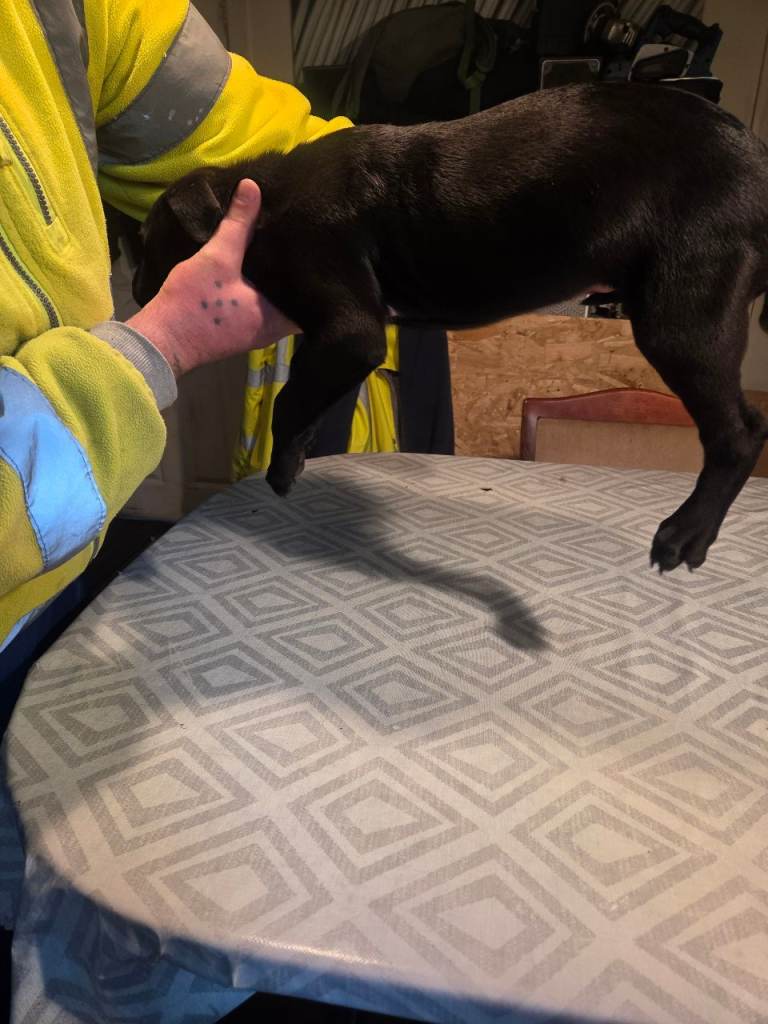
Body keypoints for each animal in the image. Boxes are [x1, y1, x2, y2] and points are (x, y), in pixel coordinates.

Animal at [134, 82, 768, 573]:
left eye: (145, 243)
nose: (136, 290)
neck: (265, 196)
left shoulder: (350, 328)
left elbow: (292, 398)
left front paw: (284, 465)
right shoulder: (334, 338)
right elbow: (308, 390)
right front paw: (300, 449)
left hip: (682, 311)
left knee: (738, 433)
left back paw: (686, 534)